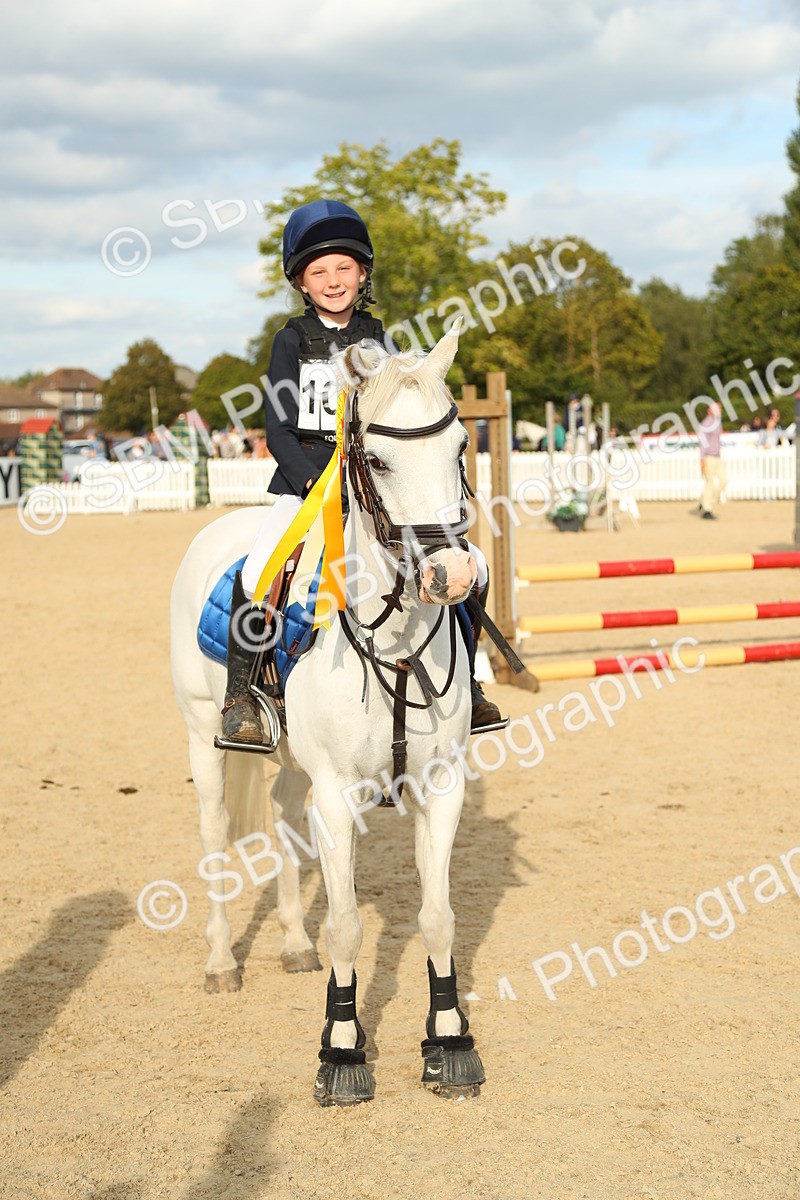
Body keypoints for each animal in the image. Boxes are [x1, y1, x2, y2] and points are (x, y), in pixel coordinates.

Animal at [170, 323, 486, 1105]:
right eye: (376, 458)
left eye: (461, 446)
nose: (451, 576)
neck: (394, 637)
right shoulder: (338, 795)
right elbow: (346, 926)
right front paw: (342, 1052)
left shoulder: (441, 786)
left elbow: (438, 917)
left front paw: (449, 1042)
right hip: (203, 739)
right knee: (216, 836)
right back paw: (222, 963)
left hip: (292, 766)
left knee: (284, 823)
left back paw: (290, 943)